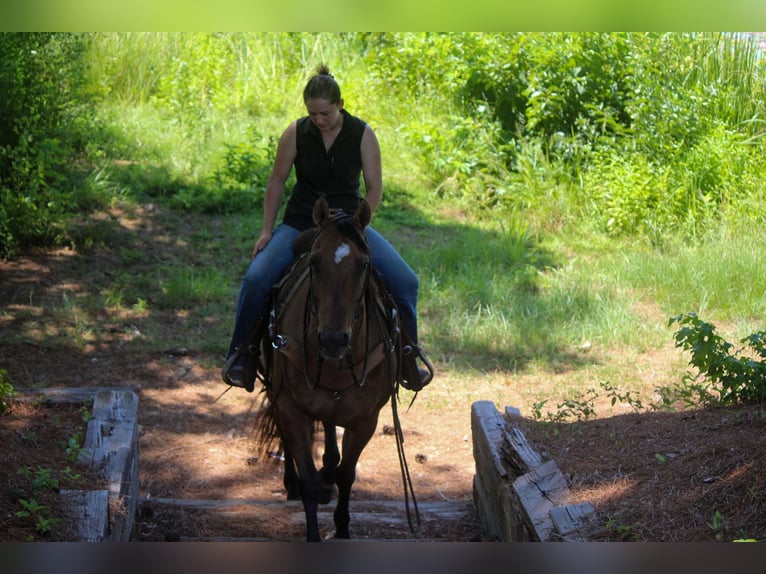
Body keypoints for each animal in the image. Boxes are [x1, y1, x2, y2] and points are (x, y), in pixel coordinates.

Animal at [254, 196, 420, 544]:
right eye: (315, 262)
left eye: (364, 264)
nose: (332, 340)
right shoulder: (290, 408)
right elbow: (307, 480)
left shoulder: (365, 420)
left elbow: (347, 475)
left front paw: (342, 528)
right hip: (277, 391)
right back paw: (292, 482)